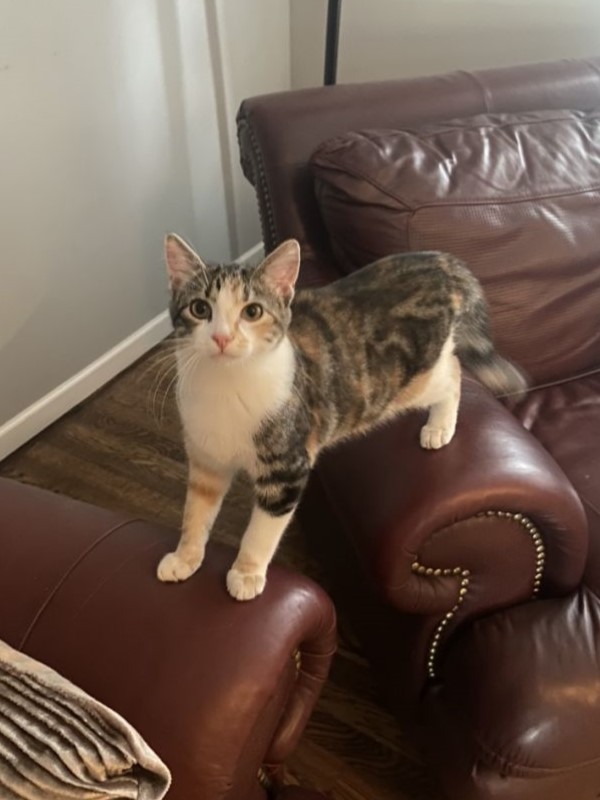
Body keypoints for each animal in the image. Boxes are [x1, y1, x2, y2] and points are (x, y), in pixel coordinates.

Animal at [156, 236, 524, 600]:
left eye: (253, 311)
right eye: (200, 308)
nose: (221, 338)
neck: (225, 385)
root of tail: (439, 260)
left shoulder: (286, 467)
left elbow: (262, 528)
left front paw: (246, 574)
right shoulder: (206, 457)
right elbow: (196, 509)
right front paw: (184, 557)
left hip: (412, 380)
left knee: (453, 372)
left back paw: (439, 426)